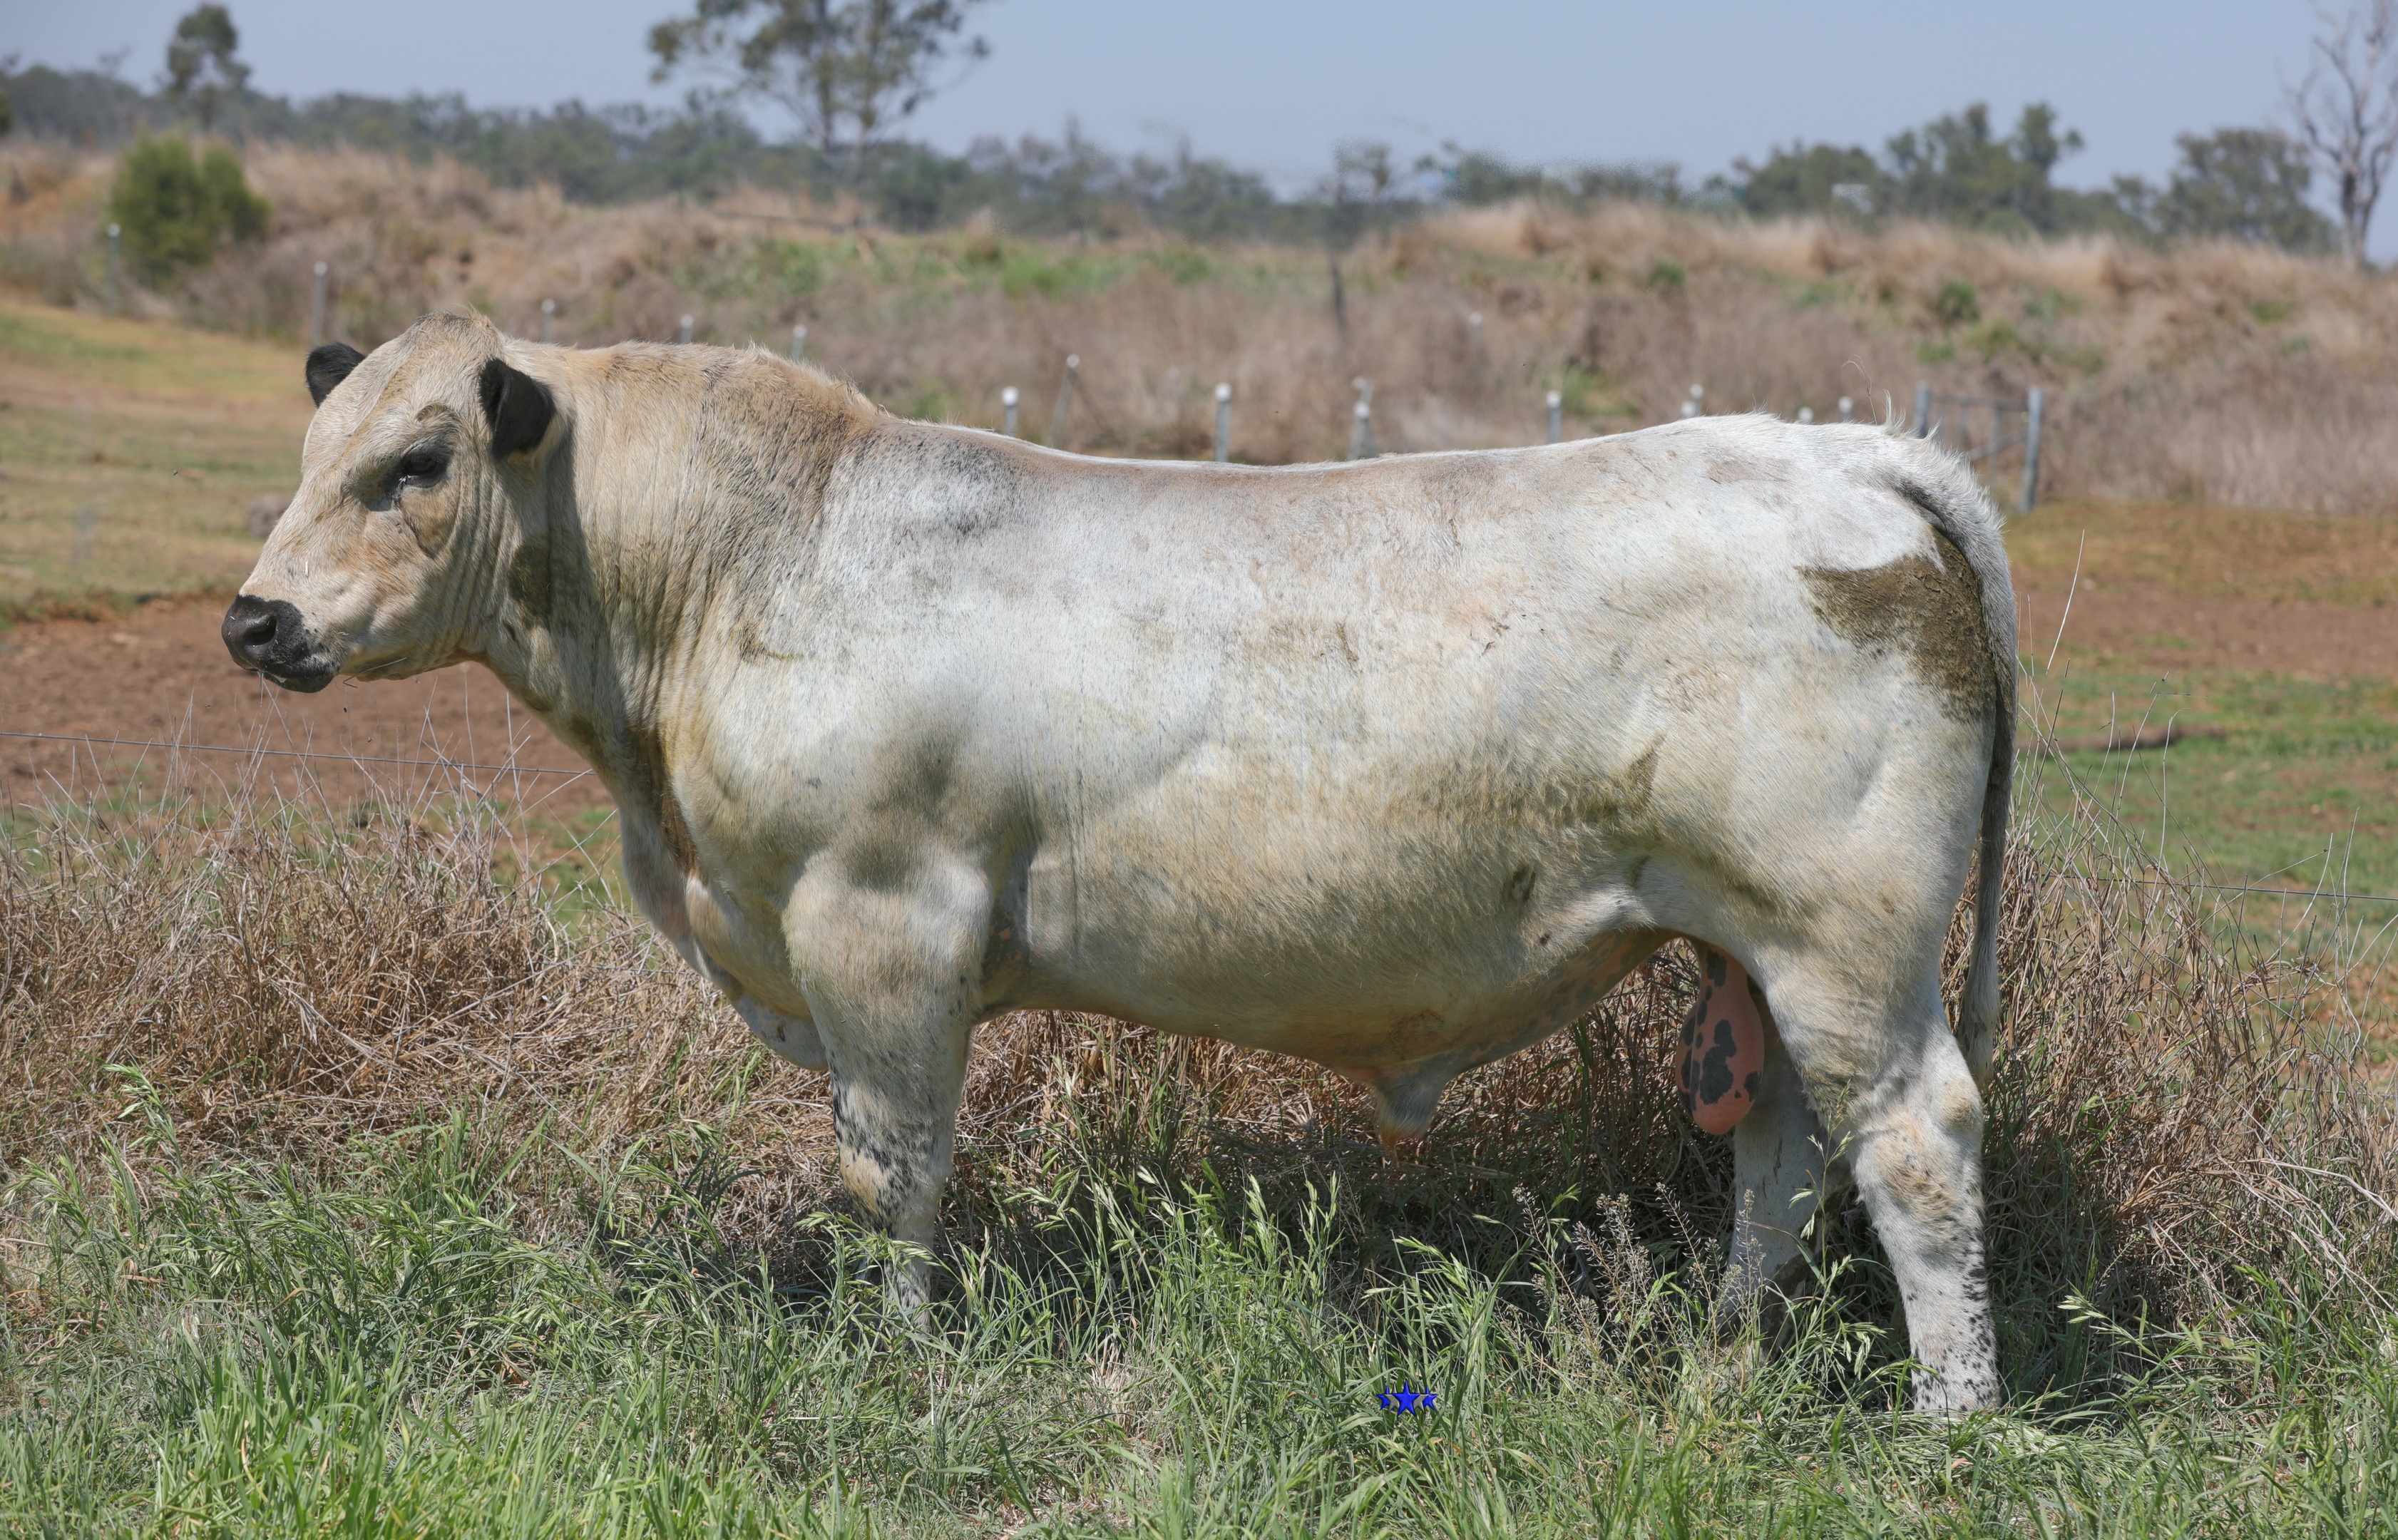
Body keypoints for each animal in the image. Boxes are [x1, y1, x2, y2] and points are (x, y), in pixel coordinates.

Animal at [225, 312, 2015, 1412]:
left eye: (415, 463)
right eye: (310, 452)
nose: (256, 619)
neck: (753, 560)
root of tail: (1842, 450)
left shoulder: (881, 925)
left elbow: (893, 1170)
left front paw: (892, 1357)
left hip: (1842, 942)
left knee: (1914, 1143)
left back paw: (1948, 1415)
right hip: (1753, 960)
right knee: (1781, 1151)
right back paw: (1715, 1349)